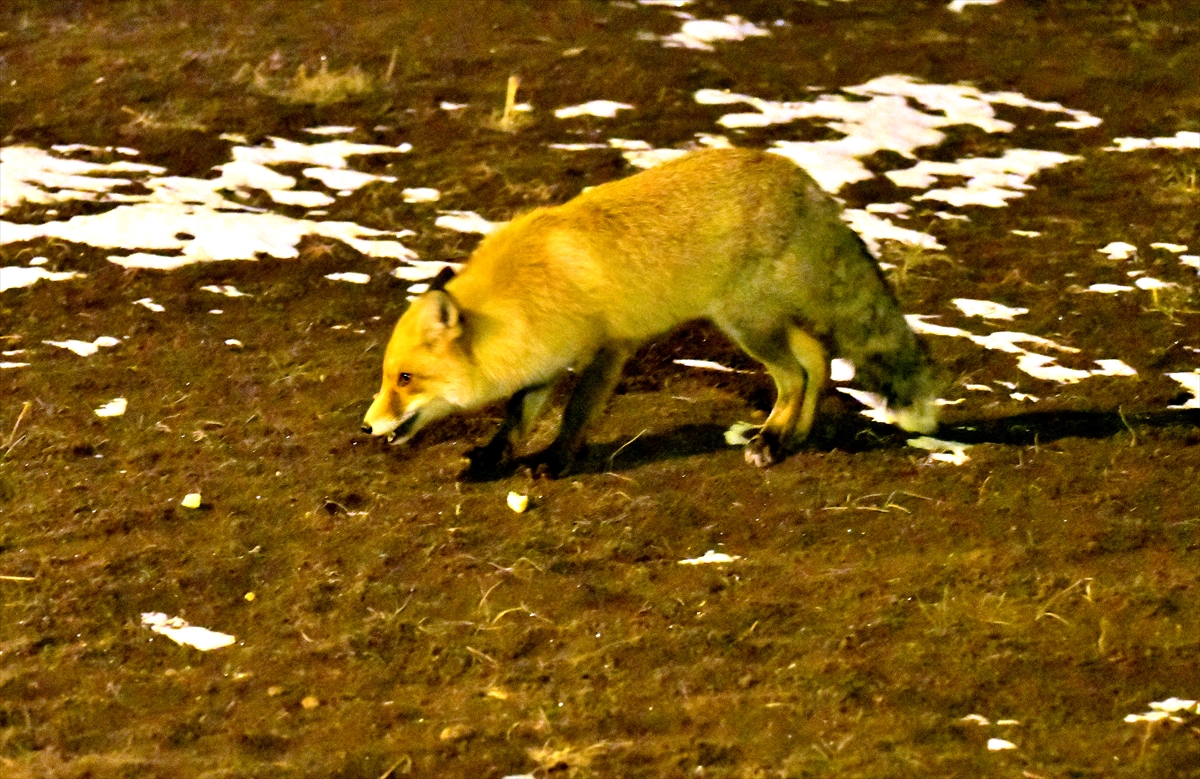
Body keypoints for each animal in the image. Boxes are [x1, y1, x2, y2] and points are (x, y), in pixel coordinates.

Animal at [360, 145, 940, 472]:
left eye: (406, 379)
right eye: (387, 377)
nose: (366, 429)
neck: (526, 288)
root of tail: (805, 182)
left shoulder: (609, 349)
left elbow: (575, 414)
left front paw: (555, 463)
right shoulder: (542, 358)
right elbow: (516, 416)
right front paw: (489, 460)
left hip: (746, 325)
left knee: (795, 375)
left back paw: (771, 441)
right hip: (761, 322)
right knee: (817, 361)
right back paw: (793, 438)